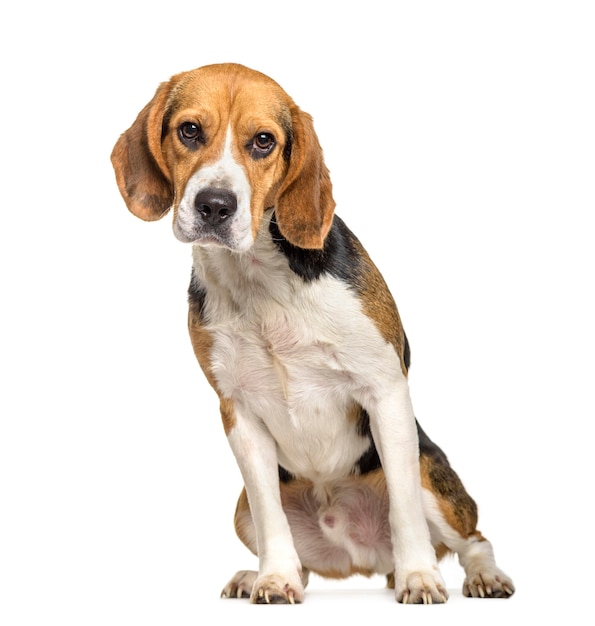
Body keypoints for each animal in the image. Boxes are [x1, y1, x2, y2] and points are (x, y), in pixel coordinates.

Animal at [113, 62, 516, 600]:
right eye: (189, 130)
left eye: (264, 141)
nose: (215, 205)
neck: (259, 278)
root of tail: (363, 558)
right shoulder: (238, 412)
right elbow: (271, 517)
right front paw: (275, 578)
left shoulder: (386, 392)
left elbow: (405, 507)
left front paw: (420, 576)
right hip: (240, 509)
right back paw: (259, 574)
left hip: (436, 480)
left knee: (472, 538)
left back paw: (476, 575)